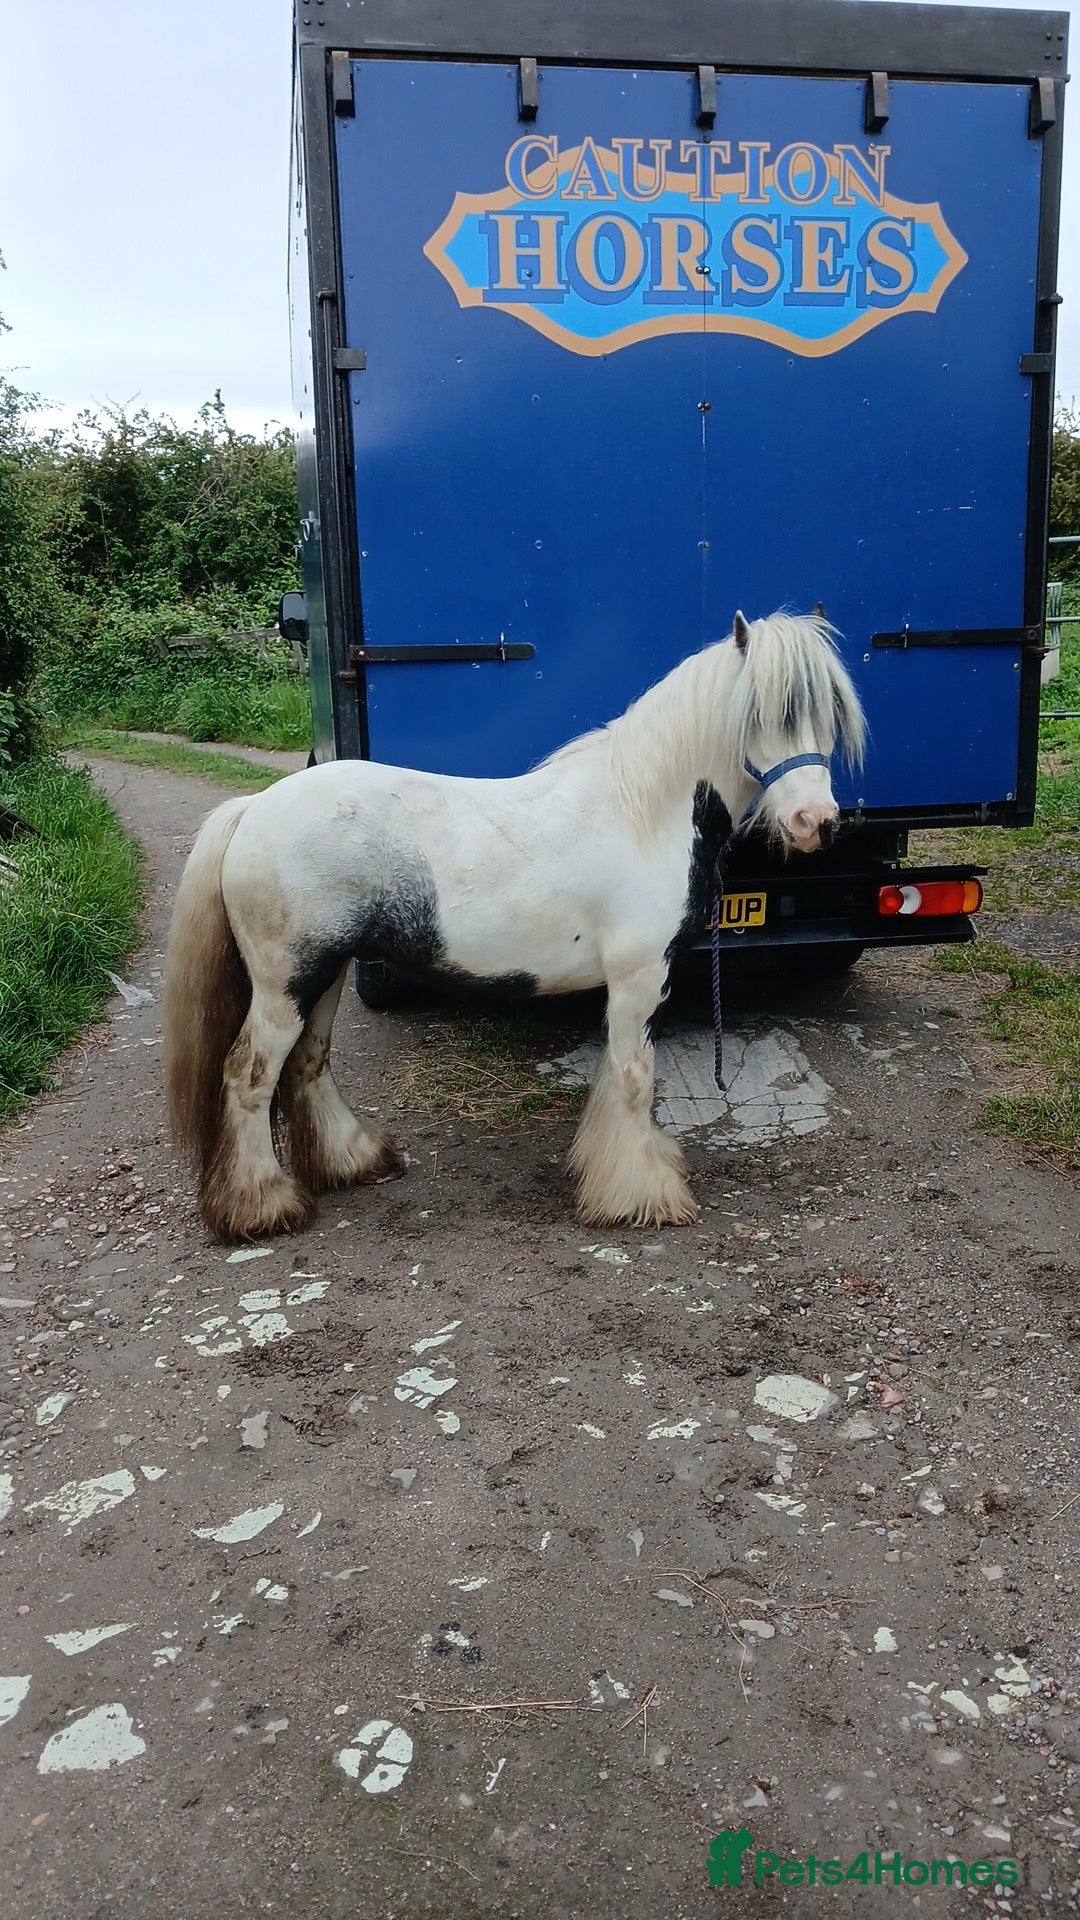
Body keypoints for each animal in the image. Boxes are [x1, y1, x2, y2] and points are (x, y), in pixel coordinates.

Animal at [162, 610, 865, 1242]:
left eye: (828, 714)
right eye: (762, 713)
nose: (816, 823)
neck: (643, 812)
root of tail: (254, 808)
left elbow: (622, 1076)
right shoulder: (638, 978)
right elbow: (634, 1078)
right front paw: (641, 1197)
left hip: (325, 975)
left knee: (309, 1062)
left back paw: (353, 1162)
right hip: (287, 986)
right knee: (250, 1075)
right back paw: (261, 1208)